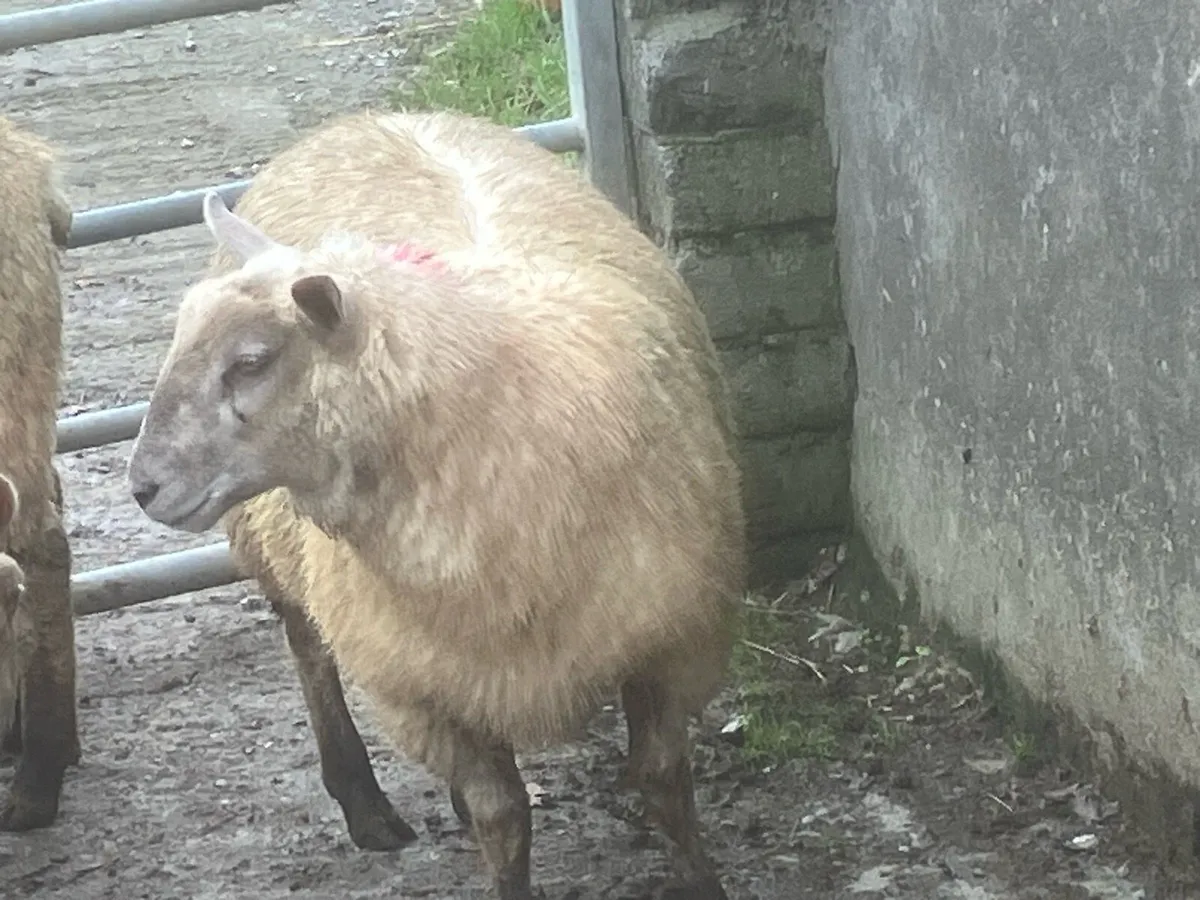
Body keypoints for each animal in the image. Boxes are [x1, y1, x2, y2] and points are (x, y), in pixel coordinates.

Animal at [127, 109, 746, 900]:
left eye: (251, 362)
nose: (141, 486)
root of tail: (376, 116)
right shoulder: (423, 691)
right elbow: (502, 818)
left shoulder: (676, 639)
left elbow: (663, 783)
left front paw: (700, 877)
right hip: (283, 558)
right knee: (309, 649)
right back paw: (365, 806)